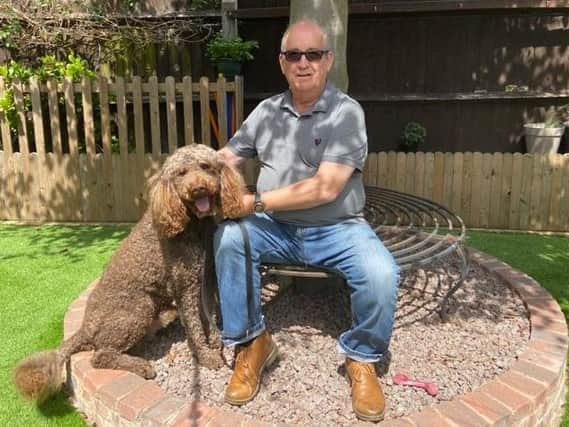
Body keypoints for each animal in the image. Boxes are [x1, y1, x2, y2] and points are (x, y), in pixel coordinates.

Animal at [13, 145, 244, 404]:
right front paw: (206, 355)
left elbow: (210, 314)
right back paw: (140, 365)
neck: (193, 225)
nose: (198, 188)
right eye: (181, 173)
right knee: (100, 355)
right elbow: (195, 326)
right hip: (140, 307)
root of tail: (85, 326)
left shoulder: (207, 276)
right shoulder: (186, 284)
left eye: (205, 166)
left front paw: (215, 341)